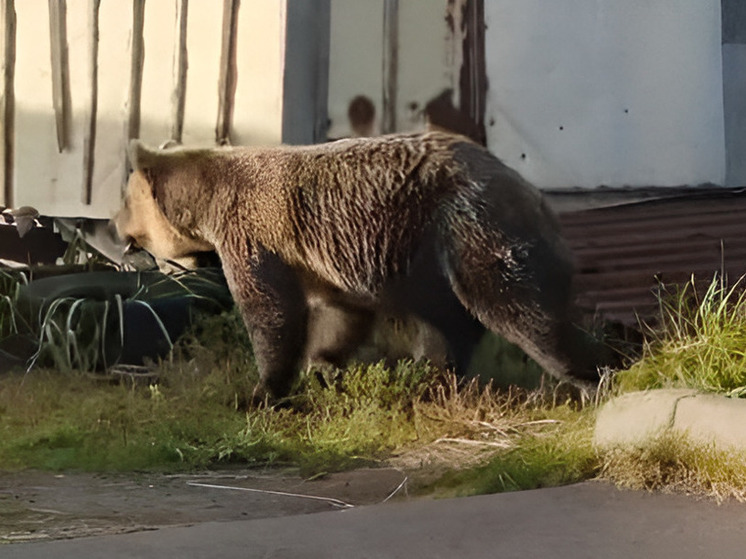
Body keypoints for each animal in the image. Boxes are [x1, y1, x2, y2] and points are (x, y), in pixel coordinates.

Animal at [113, 132, 608, 398]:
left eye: (124, 200)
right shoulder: (325, 261)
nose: (115, 225)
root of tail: (537, 195)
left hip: (466, 228)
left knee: (518, 308)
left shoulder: (255, 234)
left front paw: (263, 388)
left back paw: (588, 374)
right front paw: (323, 363)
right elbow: (339, 314)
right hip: (427, 259)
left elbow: (271, 311)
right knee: (448, 322)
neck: (206, 203)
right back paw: (429, 374)